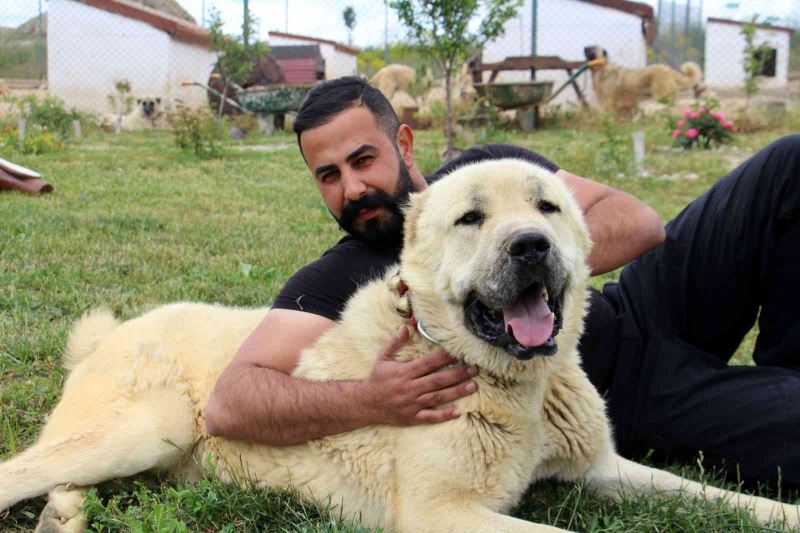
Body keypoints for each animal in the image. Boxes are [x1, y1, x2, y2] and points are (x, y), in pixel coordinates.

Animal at [1, 160, 800, 528]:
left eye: (546, 207)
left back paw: (65, 516)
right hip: (151, 425)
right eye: (471, 219)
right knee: (22, 469)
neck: (510, 384)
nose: (532, 246)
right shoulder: (439, 514)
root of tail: (113, 330)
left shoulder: (602, 469)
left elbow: (719, 496)